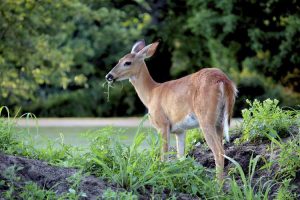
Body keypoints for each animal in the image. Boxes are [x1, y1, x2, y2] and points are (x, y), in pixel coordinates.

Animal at [105, 39, 237, 180]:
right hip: (220, 121)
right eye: (119, 60)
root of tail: (224, 81)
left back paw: (216, 184)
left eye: (127, 62)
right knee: (222, 149)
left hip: (206, 118)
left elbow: (164, 156)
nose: (109, 76)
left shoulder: (162, 124)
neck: (151, 94)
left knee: (218, 151)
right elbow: (181, 157)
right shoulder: (180, 130)